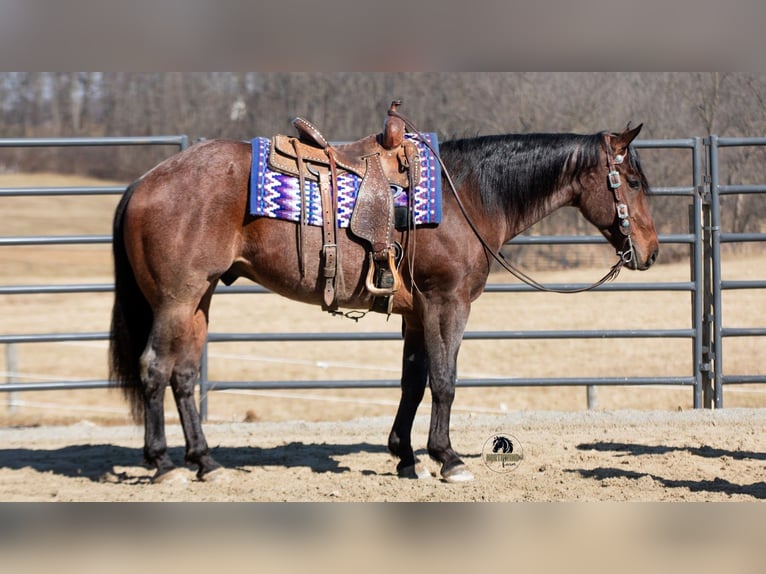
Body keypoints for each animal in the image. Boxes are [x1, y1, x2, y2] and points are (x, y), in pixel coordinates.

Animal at [109, 122, 658, 484]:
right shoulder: (446, 303)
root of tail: (144, 182)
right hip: (176, 300)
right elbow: (444, 381)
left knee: (183, 375)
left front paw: (405, 456)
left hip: (197, 300)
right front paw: (447, 458)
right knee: (155, 368)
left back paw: (204, 462)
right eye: (632, 182)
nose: (650, 251)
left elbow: (412, 383)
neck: (468, 196)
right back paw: (162, 464)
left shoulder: (415, 315)